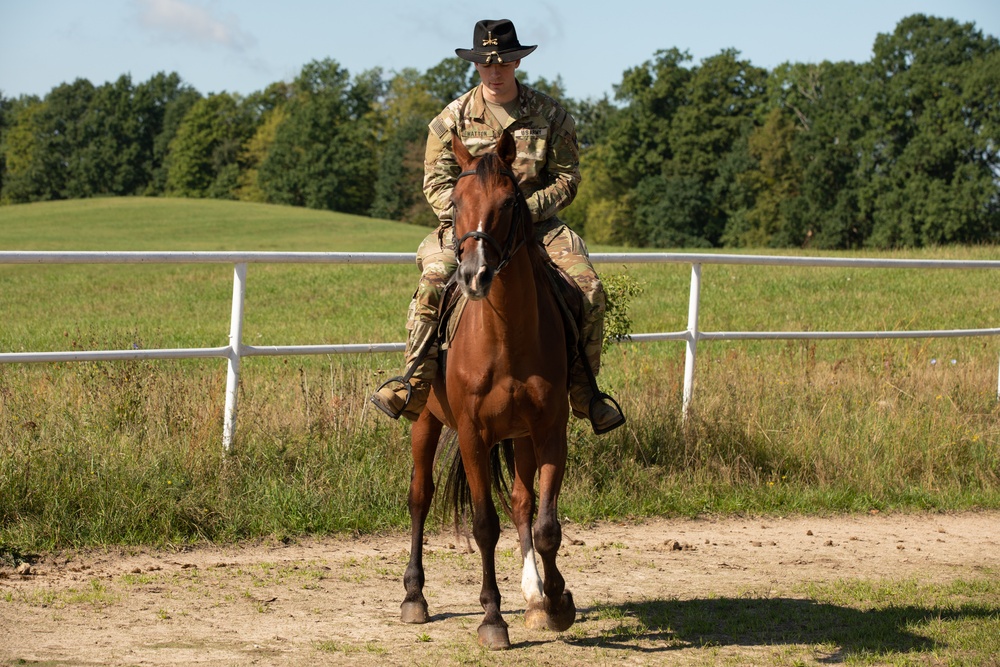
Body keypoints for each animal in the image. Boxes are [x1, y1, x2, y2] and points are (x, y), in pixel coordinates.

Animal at [396, 129, 576, 648]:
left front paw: (556, 601)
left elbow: (546, 524)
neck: (507, 337)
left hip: (521, 438)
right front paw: (493, 618)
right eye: (456, 201)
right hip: (426, 421)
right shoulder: (473, 435)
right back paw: (414, 597)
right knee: (420, 496)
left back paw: (534, 597)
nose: (474, 275)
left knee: (521, 503)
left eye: (509, 202)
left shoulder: (549, 431)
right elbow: (483, 526)